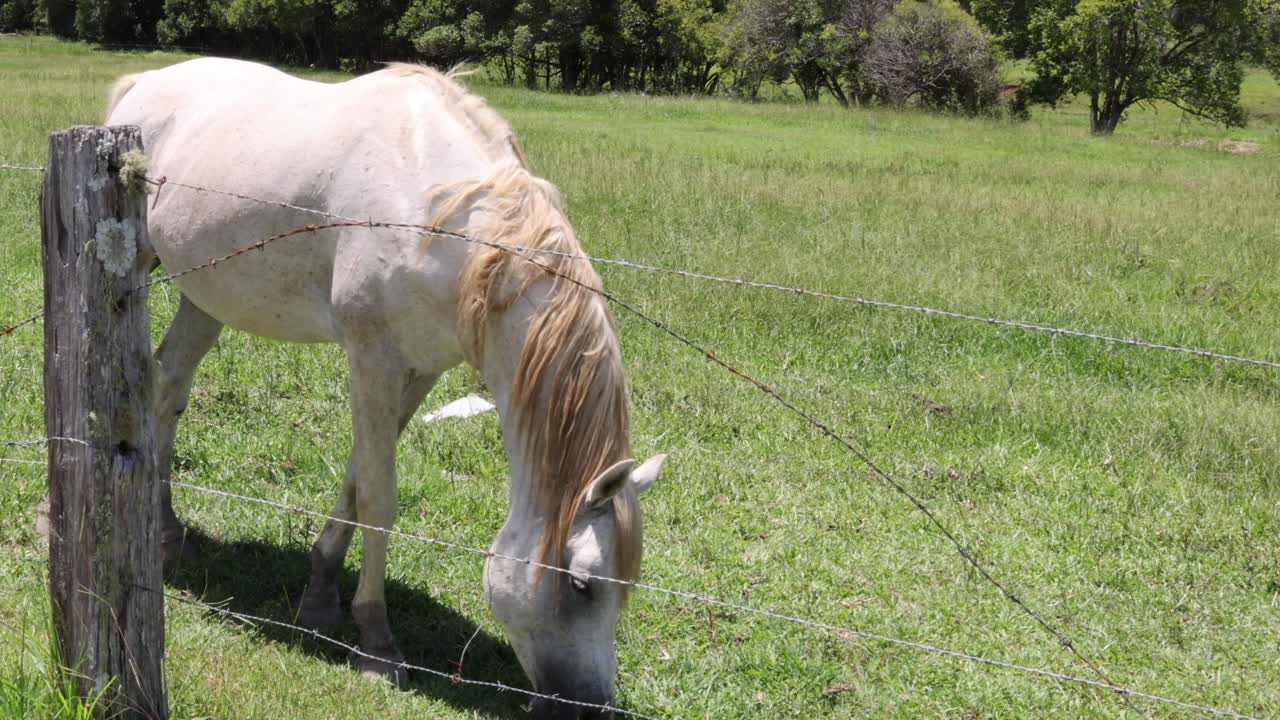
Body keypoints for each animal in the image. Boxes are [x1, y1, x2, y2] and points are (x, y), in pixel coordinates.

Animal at [106, 58, 666, 718]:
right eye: (582, 583)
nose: (592, 706)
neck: (442, 218)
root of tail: (142, 83)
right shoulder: (372, 358)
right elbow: (380, 497)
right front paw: (376, 641)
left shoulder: (419, 371)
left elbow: (356, 479)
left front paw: (321, 595)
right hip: (140, 267)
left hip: (206, 296)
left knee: (168, 385)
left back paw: (168, 529)